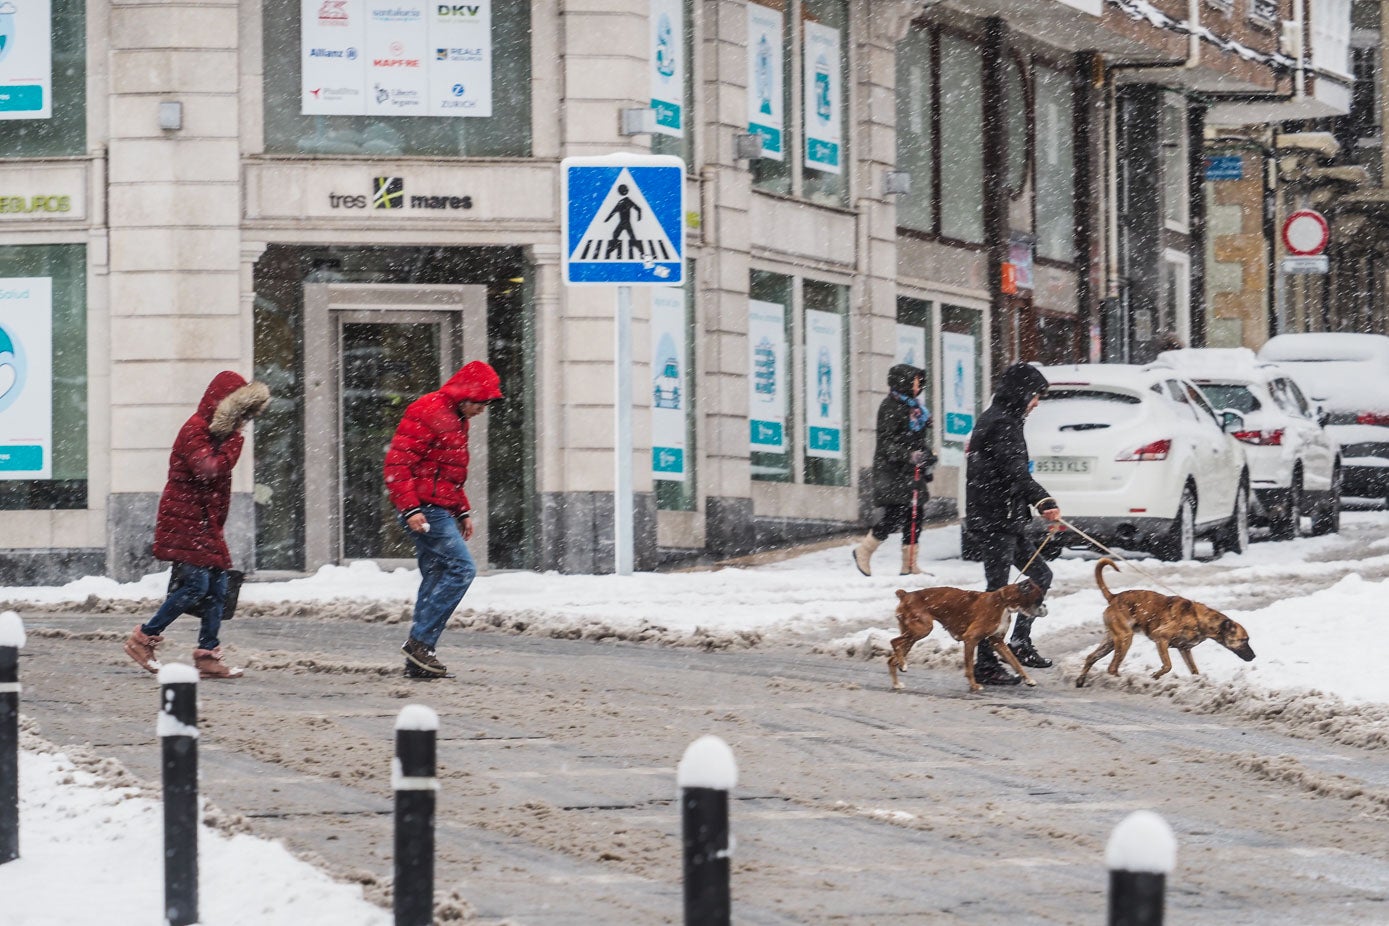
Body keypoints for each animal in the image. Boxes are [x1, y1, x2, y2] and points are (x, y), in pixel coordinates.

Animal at [883, 583, 1044, 691]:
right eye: (1039, 599)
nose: (1044, 608)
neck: (1003, 601)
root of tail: (906, 594)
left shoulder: (998, 642)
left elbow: (1015, 662)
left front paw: (1028, 680)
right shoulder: (970, 639)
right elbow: (969, 668)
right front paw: (974, 686)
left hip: (912, 636)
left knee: (892, 658)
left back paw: (897, 681)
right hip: (922, 629)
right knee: (894, 641)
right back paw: (903, 666)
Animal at [1072, 558, 1261, 688]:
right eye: (1244, 640)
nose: (1253, 656)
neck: (1199, 619)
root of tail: (1114, 597)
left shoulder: (1185, 649)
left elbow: (1194, 670)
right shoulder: (1160, 638)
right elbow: (1168, 666)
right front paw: (1154, 676)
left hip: (1112, 640)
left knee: (1091, 657)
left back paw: (1081, 680)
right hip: (1125, 638)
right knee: (1112, 667)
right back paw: (1125, 682)